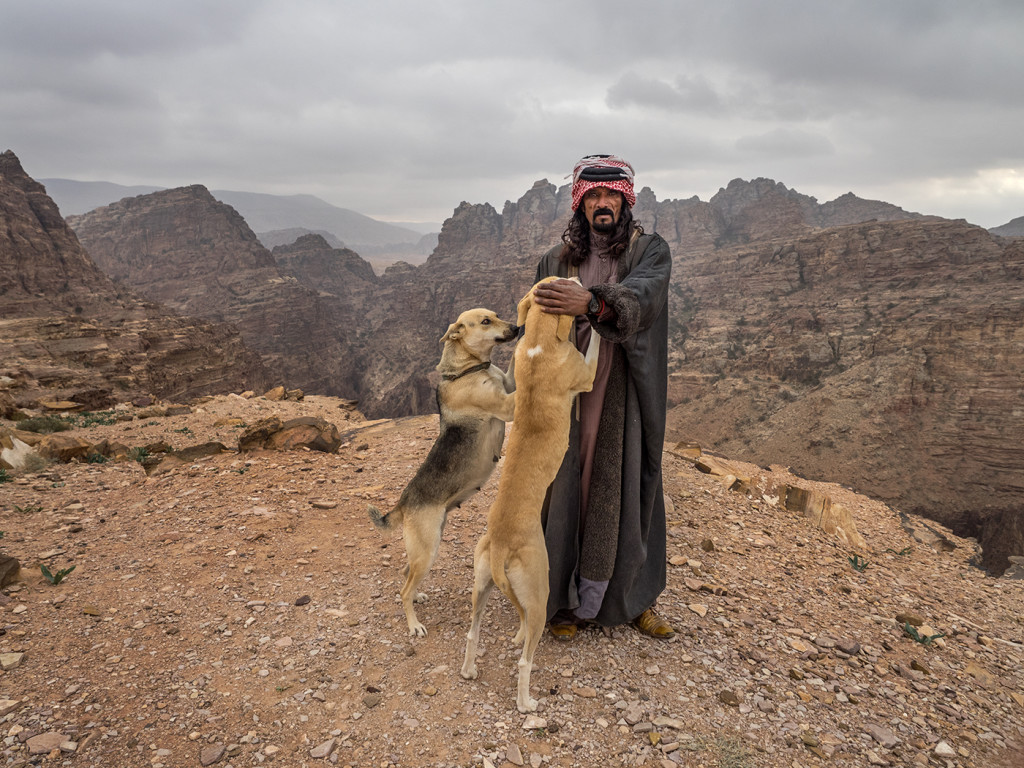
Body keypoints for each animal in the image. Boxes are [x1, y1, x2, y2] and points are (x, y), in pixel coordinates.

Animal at [366, 307, 516, 638]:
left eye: (496, 315)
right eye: (485, 321)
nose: (516, 327)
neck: (469, 369)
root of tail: (403, 502)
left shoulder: (508, 387)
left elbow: (513, 367)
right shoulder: (506, 405)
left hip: (428, 544)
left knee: (405, 572)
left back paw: (419, 596)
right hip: (428, 548)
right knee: (404, 589)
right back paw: (414, 624)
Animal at [458, 278, 598, 716]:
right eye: (571, 283)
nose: (582, 281)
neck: (537, 340)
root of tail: (503, 545)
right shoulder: (586, 374)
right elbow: (596, 347)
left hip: (481, 585)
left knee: (472, 633)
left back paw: (470, 669)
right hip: (539, 592)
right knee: (524, 659)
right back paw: (526, 704)